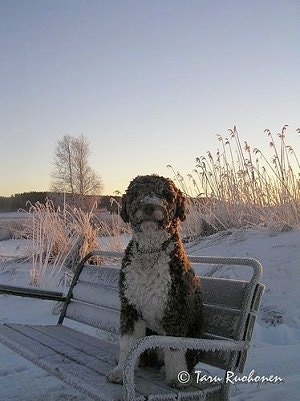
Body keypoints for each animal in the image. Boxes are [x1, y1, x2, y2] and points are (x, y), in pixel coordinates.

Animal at [106, 173, 203, 386]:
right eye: (137, 192)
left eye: (166, 194)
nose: (150, 206)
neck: (150, 253)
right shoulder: (131, 308)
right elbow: (127, 345)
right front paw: (120, 371)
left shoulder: (175, 309)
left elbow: (174, 348)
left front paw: (176, 377)